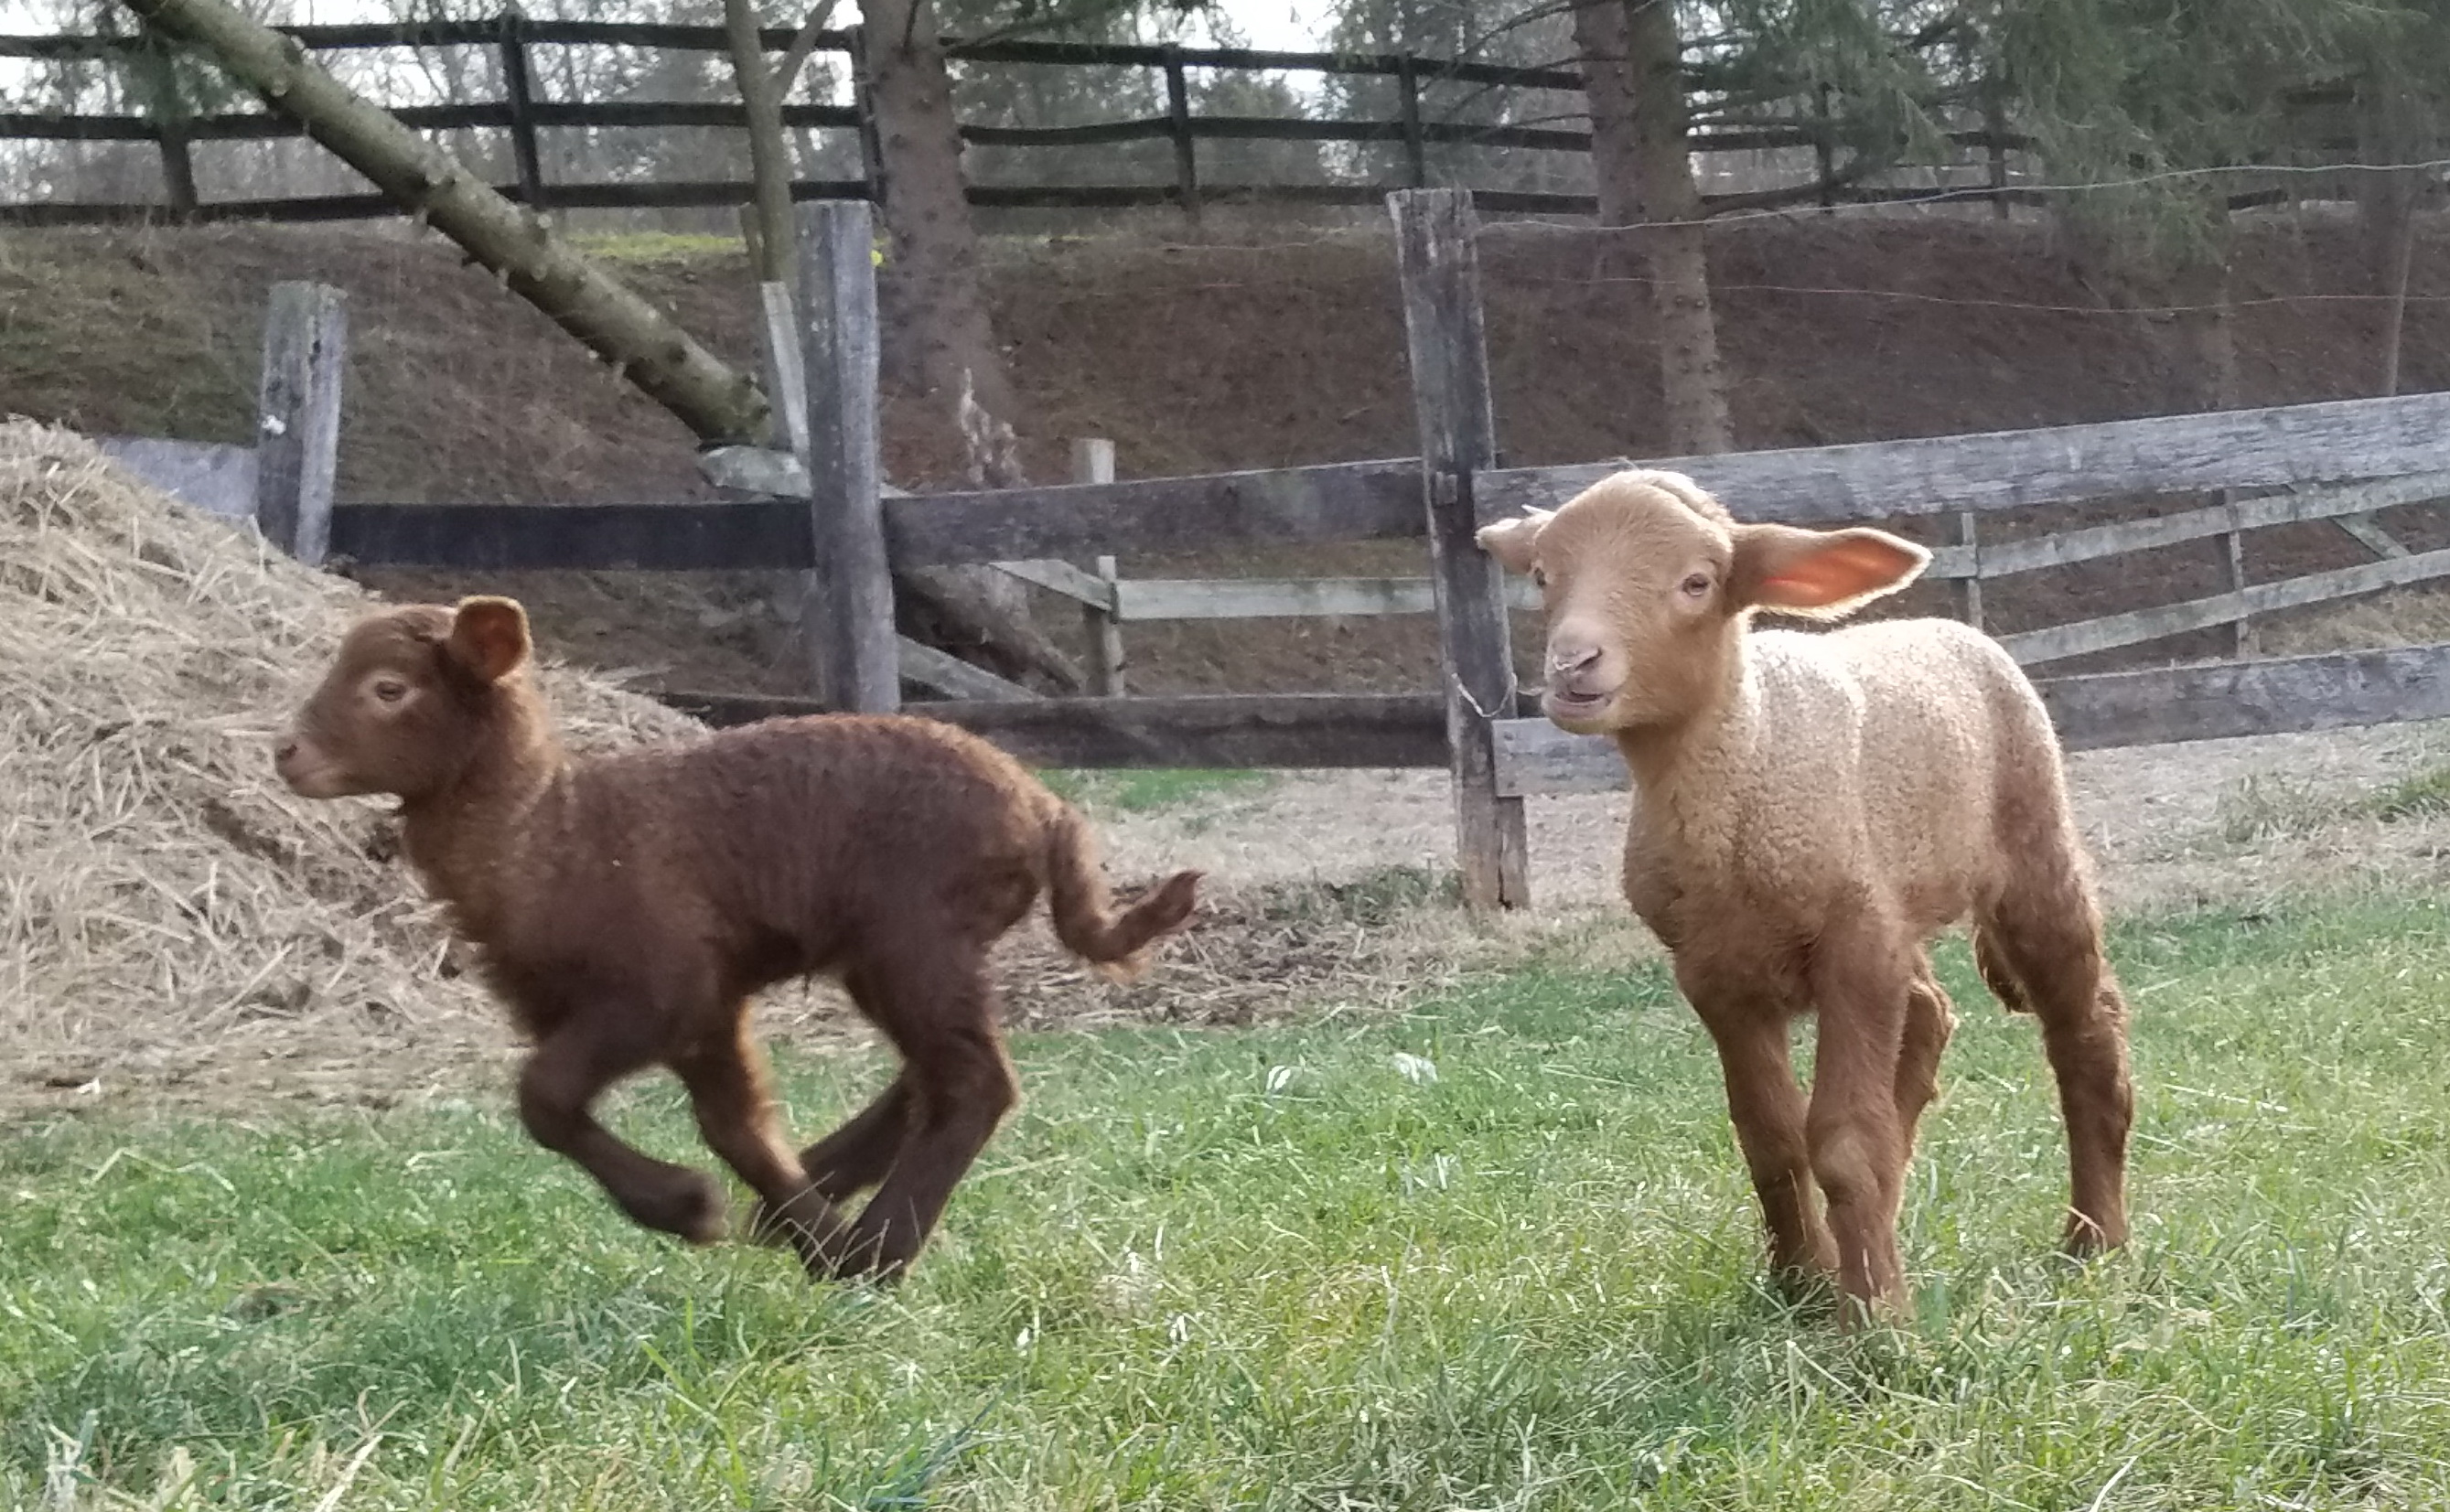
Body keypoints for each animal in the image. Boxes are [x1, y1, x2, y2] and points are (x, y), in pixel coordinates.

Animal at [273, 596, 1202, 1282]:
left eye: (388, 689)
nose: (286, 753)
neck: (548, 832)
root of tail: (1044, 809)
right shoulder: (692, 1007)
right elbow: (734, 1126)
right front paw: (783, 1226)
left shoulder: (662, 990)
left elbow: (548, 1098)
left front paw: (700, 1210)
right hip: (904, 951)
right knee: (930, 1075)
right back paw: (831, 1197)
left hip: (915, 931)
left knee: (974, 1082)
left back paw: (882, 1250)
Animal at [1477, 470, 2133, 1319]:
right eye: (1541, 576)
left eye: (1697, 582)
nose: (1573, 663)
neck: (1746, 763)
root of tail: (1946, 626)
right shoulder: (1714, 972)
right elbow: (1771, 1137)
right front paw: (1803, 1281)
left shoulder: (1854, 947)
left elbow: (1847, 1145)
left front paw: (1876, 1317)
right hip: (1890, 900)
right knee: (1929, 1014)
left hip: (2032, 846)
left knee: (2085, 1031)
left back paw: (2095, 1237)